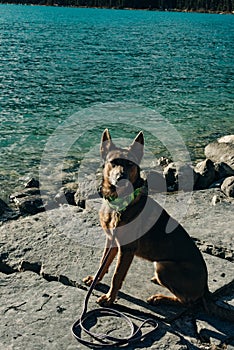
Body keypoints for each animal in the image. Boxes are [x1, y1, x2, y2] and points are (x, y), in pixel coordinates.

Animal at [83, 129, 234, 322]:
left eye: (130, 164)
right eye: (113, 163)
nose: (121, 178)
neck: (119, 203)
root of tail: (206, 289)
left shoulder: (126, 249)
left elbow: (117, 276)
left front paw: (110, 298)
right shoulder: (111, 241)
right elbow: (103, 263)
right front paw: (95, 280)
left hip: (164, 266)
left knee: (187, 301)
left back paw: (160, 298)